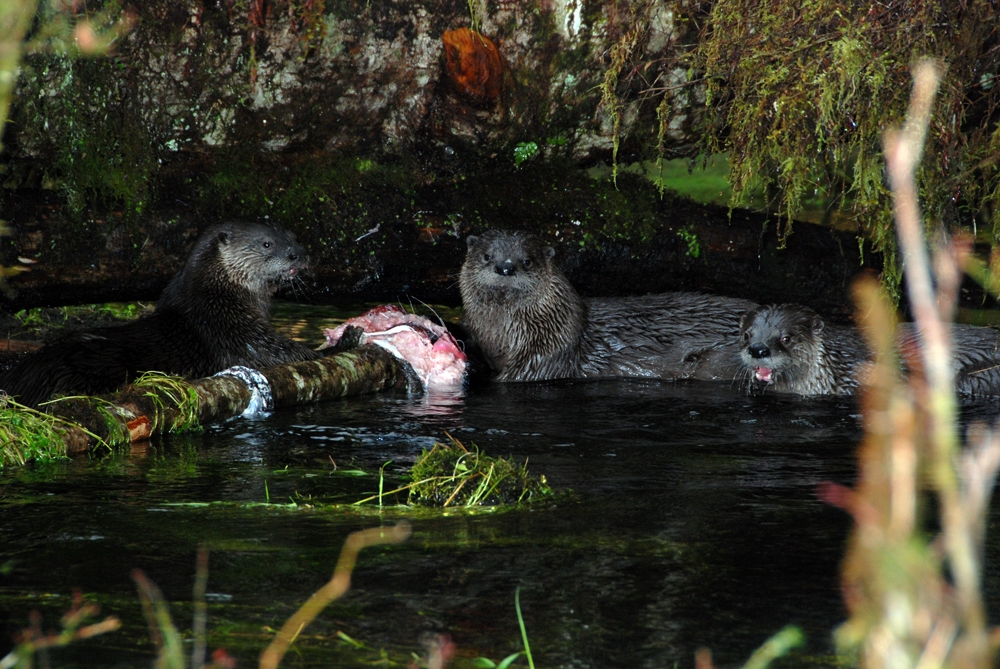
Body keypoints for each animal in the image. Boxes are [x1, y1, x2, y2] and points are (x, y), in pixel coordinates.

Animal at [0, 222, 320, 404]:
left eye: (294, 237)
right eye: (267, 243)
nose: (300, 254)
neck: (218, 294)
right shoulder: (230, 327)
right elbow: (271, 352)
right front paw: (322, 350)